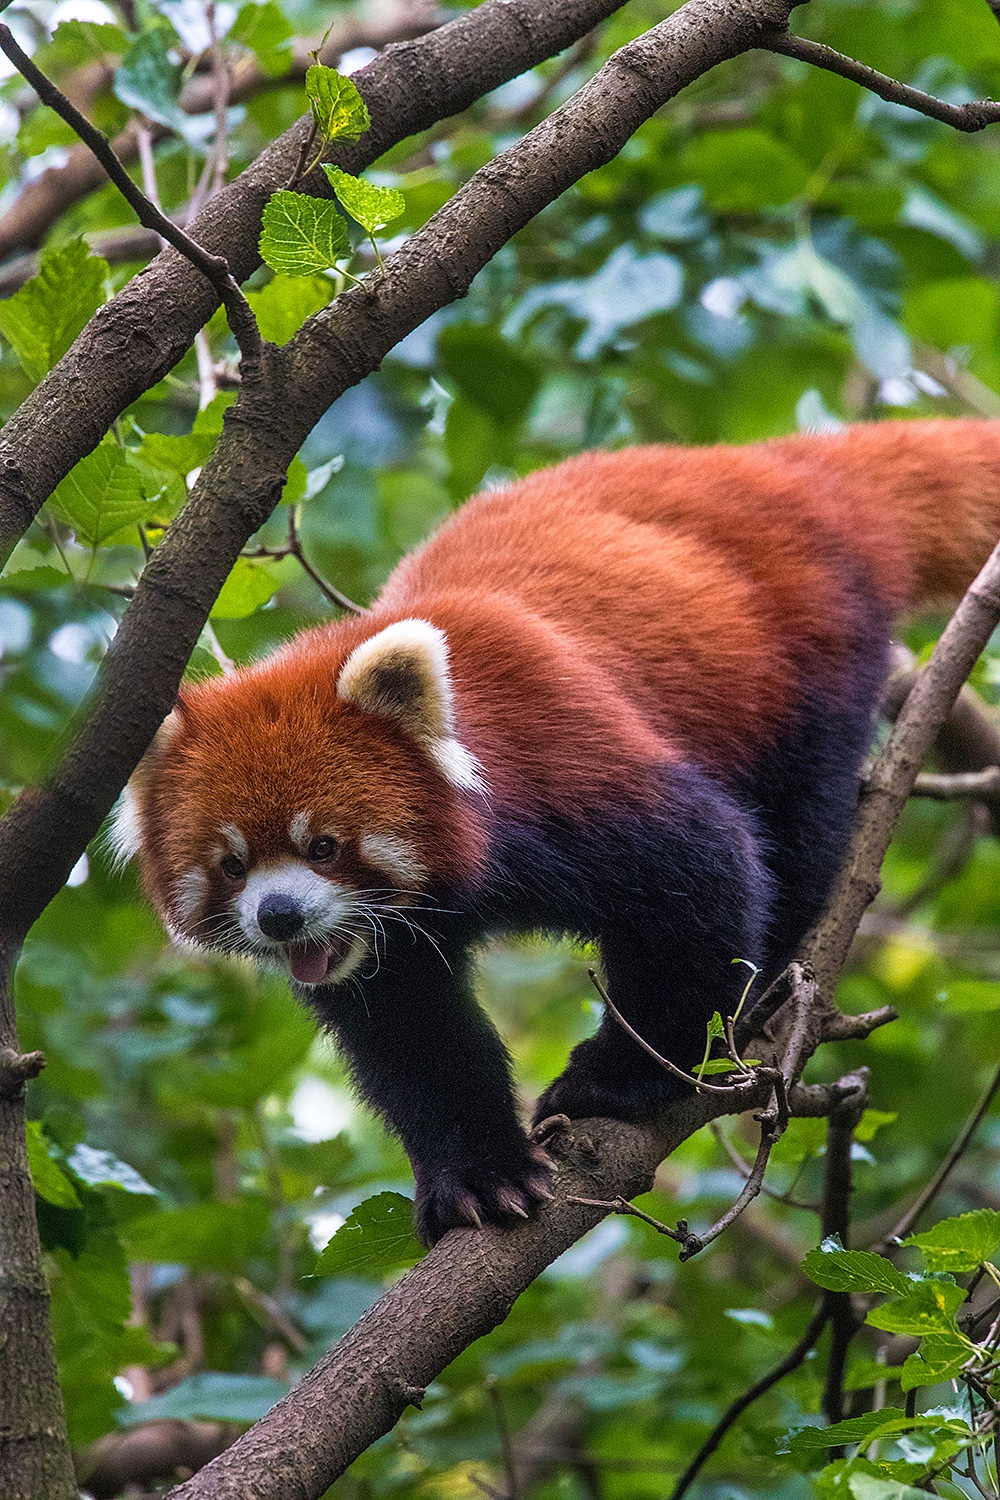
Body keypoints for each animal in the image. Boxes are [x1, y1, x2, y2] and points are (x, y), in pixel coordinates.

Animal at [113, 417, 1000, 1236]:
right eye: (232, 865)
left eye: (323, 845)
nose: (280, 916)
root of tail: (774, 463)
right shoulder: (387, 952)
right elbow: (413, 1033)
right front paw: (478, 1174)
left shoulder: (565, 772)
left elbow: (705, 875)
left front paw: (622, 1075)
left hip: (802, 659)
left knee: (798, 827)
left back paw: (767, 985)